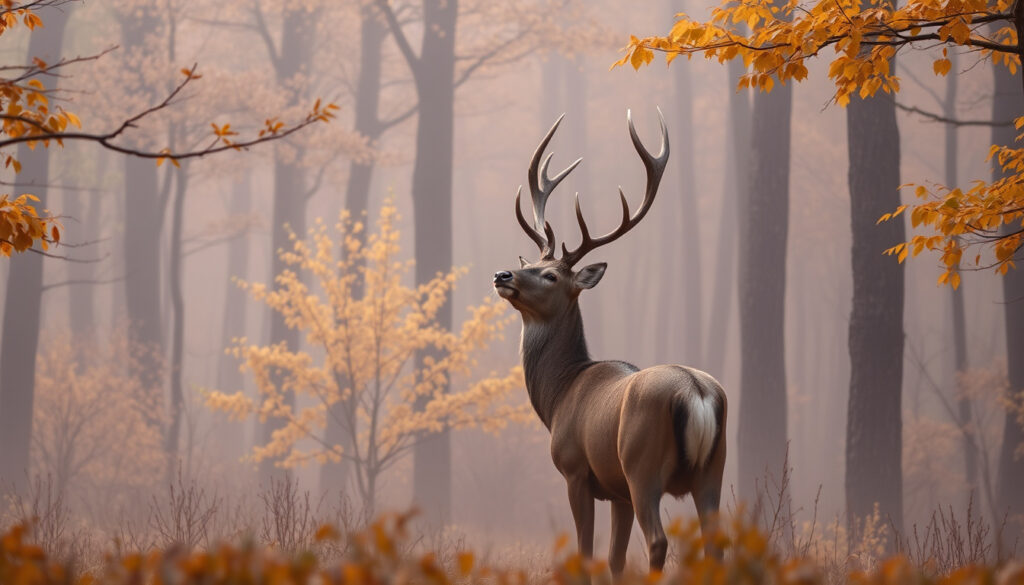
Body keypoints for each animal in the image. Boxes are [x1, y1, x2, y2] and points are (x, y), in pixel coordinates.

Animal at [492, 110, 727, 575]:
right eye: (532, 263)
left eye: (551, 275)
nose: (503, 274)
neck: (559, 395)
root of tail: (696, 393)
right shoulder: (616, 490)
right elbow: (616, 559)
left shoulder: (577, 470)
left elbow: (587, 552)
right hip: (713, 469)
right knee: (716, 542)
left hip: (642, 466)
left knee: (658, 540)